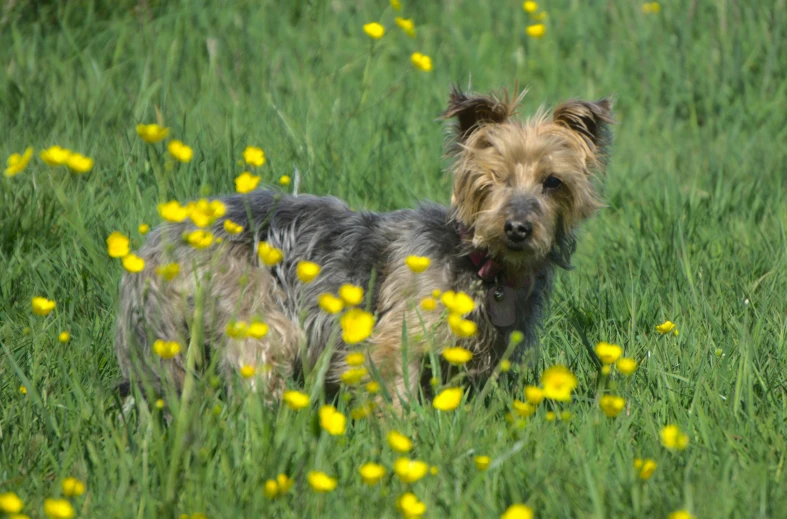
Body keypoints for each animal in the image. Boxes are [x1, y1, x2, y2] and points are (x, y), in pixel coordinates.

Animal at [114, 87, 612, 406]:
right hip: (253, 312)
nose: (518, 228)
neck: (482, 264)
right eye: (495, 178)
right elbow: (393, 394)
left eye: (553, 182)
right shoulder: (394, 343)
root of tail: (154, 248)